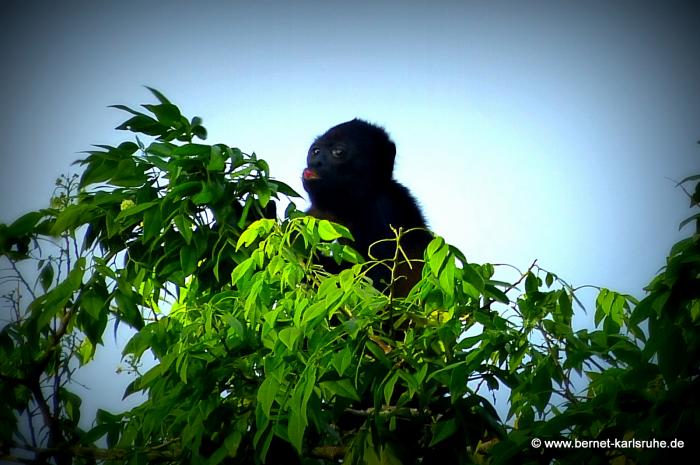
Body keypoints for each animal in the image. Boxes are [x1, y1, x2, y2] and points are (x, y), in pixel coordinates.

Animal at [302, 118, 432, 294]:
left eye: (338, 152)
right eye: (315, 151)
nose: (316, 162)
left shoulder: (385, 208)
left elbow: (378, 283)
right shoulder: (320, 211)